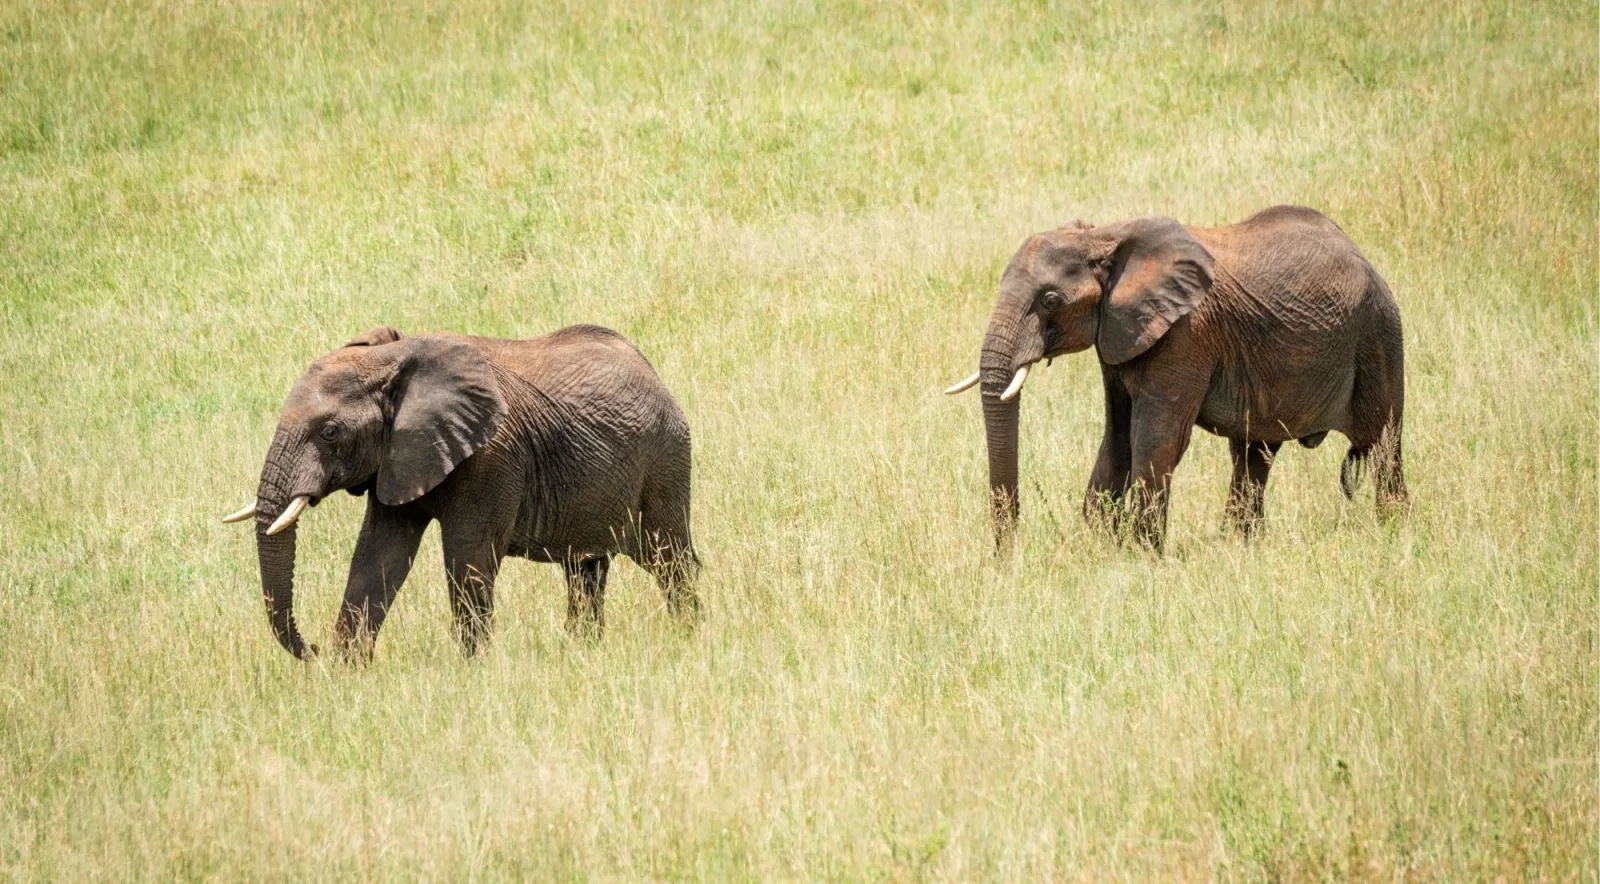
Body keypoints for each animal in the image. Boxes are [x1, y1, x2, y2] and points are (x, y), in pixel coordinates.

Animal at [221, 323, 699, 660]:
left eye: (330, 432)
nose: (313, 649)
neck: (394, 358)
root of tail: (653, 372)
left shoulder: (492, 456)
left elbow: (468, 557)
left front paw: (474, 670)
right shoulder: (398, 457)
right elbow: (378, 557)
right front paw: (347, 673)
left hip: (665, 459)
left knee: (669, 557)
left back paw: (689, 637)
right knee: (586, 570)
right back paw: (582, 651)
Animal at [946, 205, 1408, 550]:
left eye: (1050, 300)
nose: (1008, 557)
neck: (1107, 236)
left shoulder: (1188, 333)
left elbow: (1156, 437)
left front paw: (1140, 556)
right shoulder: (1117, 333)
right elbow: (1117, 437)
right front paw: (1099, 549)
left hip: (1378, 334)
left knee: (1384, 444)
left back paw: (1393, 531)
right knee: (1253, 453)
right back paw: (1240, 546)